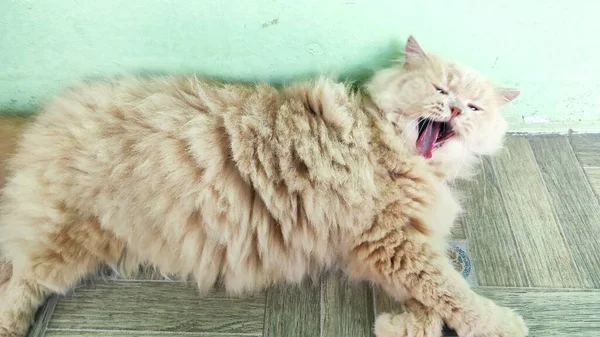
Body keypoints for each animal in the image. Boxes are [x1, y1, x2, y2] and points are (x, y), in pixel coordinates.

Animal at [0, 35, 524, 334]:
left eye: (473, 107)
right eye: (441, 90)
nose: (454, 110)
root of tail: (41, 117)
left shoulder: (392, 245)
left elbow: (434, 301)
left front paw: (401, 326)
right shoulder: (395, 244)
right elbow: (453, 293)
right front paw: (501, 324)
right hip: (64, 243)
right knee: (19, 282)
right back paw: (12, 325)